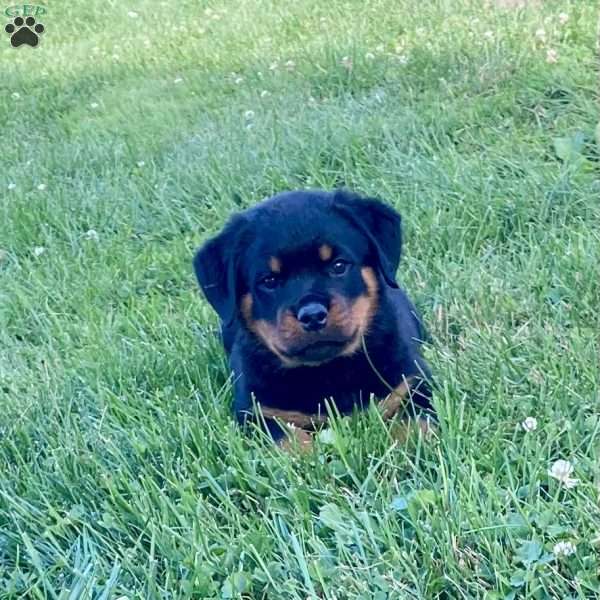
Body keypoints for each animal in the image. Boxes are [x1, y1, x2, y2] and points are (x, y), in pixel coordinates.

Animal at [195, 188, 434, 446]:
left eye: (339, 265)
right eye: (269, 281)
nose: (312, 315)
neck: (329, 370)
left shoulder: (412, 382)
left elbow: (415, 423)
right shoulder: (258, 412)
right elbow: (289, 440)